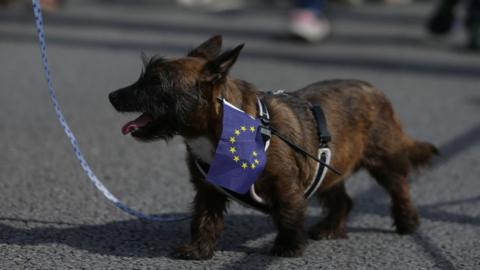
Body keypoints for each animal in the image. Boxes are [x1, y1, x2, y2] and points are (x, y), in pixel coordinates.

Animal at [109, 35, 438, 260]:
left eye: (156, 82)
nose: (112, 95)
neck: (220, 127)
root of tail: (375, 89)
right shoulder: (207, 190)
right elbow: (204, 219)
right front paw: (199, 249)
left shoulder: (286, 184)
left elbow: (290, 214)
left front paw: (288, 246)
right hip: (329, 166)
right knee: (342, 199)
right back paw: (331, 228)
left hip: (383, 161)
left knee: (399, 188)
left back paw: (407, 223)